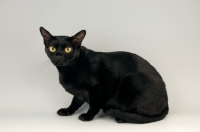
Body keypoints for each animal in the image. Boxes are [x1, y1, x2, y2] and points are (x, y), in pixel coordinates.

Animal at [39, 27, 169, 124]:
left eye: (68, 49)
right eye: (52, 48)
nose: (59, 55)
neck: (67, 70)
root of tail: (166, 104)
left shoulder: (99, 89)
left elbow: (94, 105)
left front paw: (87, 116)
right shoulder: (79, 91)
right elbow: (75, 101)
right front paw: (67, 111)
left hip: (132, 80)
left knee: (142, 115)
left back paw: (121, 118)